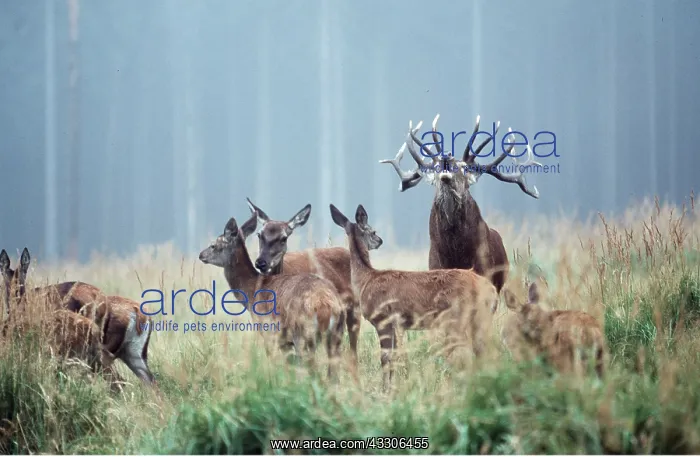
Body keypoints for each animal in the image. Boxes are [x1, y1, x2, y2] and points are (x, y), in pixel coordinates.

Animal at [198, 213, 346, 379]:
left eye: (214, 245)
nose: (201, 255)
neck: (253, 291)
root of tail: (326, 306)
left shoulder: (267, 330)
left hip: (304, 333)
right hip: (337, 333)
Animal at [329, 203, 499, 388]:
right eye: (373, 231)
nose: (380, 240)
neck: (366, 280)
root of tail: (491, 290)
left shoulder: (383, 319)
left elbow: (385, 357)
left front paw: (385, 389)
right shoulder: (394, 324)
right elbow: (392, 356)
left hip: (457, 318)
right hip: (477, 319)